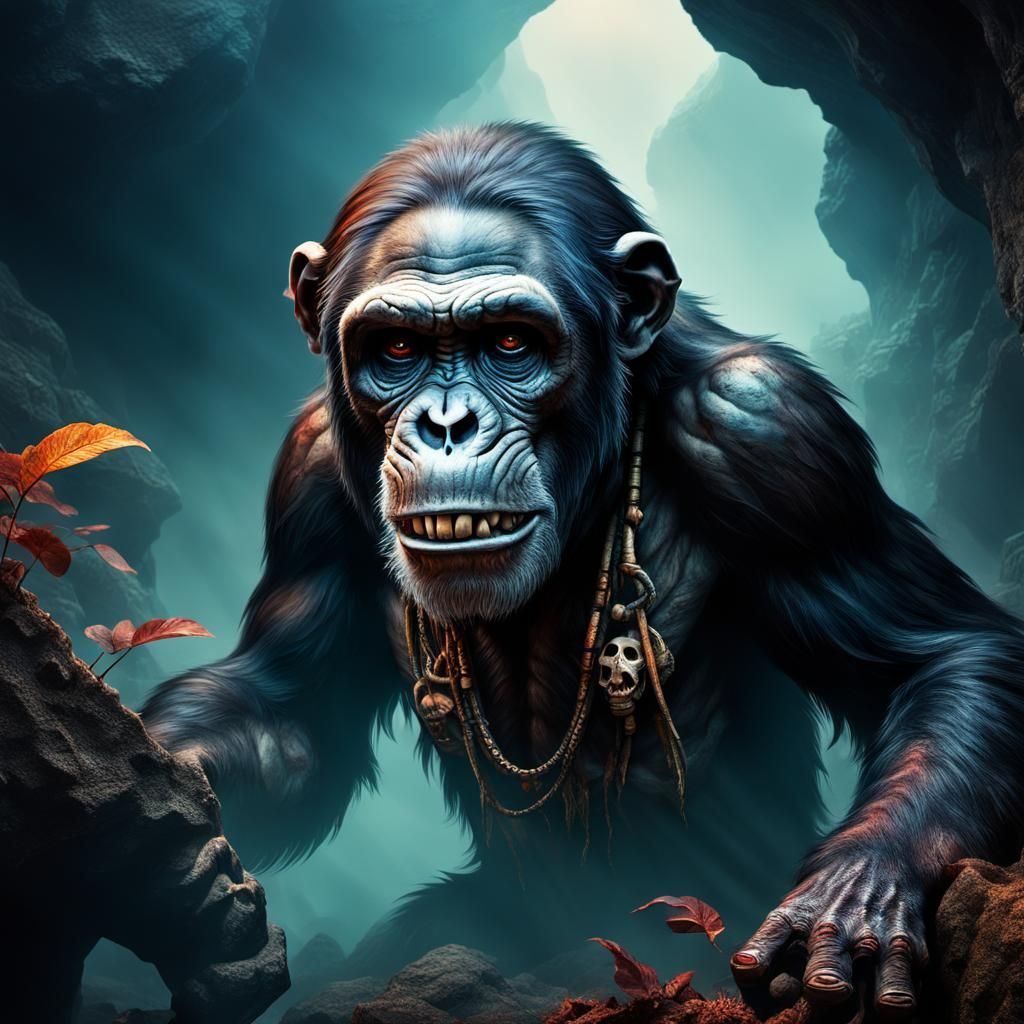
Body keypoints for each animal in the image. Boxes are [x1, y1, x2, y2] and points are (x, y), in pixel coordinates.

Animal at [143, 123, 1024, 1015]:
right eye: (396, 348)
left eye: (510, 341)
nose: (447, 424)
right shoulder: (309, 473)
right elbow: (287, 708)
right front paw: (156, 814)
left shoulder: (776, 435)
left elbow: (936, 655)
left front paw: (855, 894)